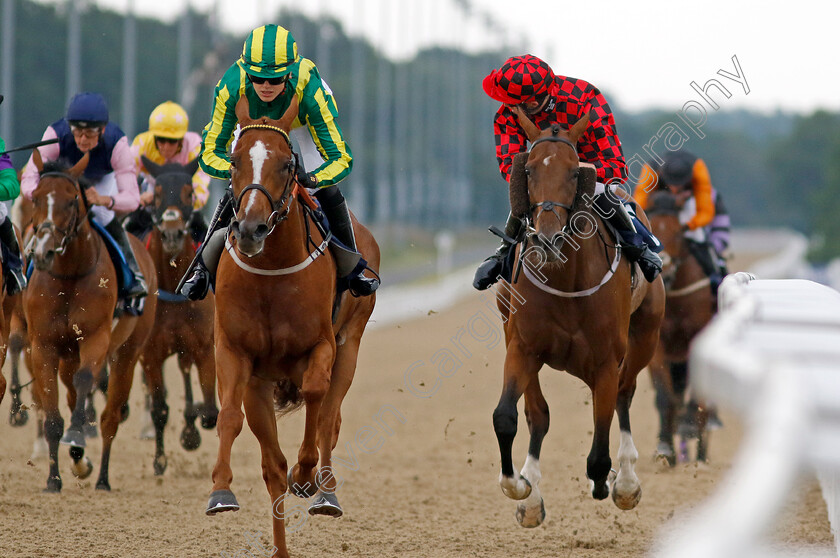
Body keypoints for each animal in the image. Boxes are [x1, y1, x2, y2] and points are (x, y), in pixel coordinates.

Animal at [26, 151, 158, 492]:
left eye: (72, 199)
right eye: (35, 196)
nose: (44, 252)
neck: (69, 276)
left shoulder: (95, 338)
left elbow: (86, 381)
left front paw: (77, 441)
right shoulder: (43, 345)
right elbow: (54, 417)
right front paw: (53, 479)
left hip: (128, 351)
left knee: (109, 416)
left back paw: (101, 478)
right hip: (68, 354)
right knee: (74, 397)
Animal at [136, 158, 218, 476]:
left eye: (188, 192)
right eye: (156, 193)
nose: (171, 234)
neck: (173, 285)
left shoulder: (204, 347)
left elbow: (210, 411)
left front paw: (191, 429)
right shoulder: (150, 353)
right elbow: (160, 408)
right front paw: (159, 461)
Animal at [205, 96, 378, 558]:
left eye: (287, 165)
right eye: (233, 161)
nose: (250, 228)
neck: (272, 271)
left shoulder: (322, 346)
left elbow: (317, 399)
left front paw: (306, 475)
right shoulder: (236, 354)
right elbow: (230, 417)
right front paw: (220, 491)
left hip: (351, 345)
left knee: (330, 418)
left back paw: (324, 493)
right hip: (262, 384)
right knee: (272, 467)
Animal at [492, 109, 664, 528]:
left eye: (574, 172)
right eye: (529, 170)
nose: (548, 239)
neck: (564, 276)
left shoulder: (605, 361)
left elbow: (599, 454)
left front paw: (611, 483)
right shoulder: (521, 347)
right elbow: (508, 416)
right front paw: (519, 487)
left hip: (645, 337)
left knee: (624, 393)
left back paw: (626, 481)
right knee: (538, 413)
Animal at [644, 190, 716, 466]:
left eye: (678, 232)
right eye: (652, 229)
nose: (664, 266)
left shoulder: (698, 339)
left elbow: (697, 397)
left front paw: (689, 427)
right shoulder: (658, 346)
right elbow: (665, 398)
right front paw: (666, 449)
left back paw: (700, 453)